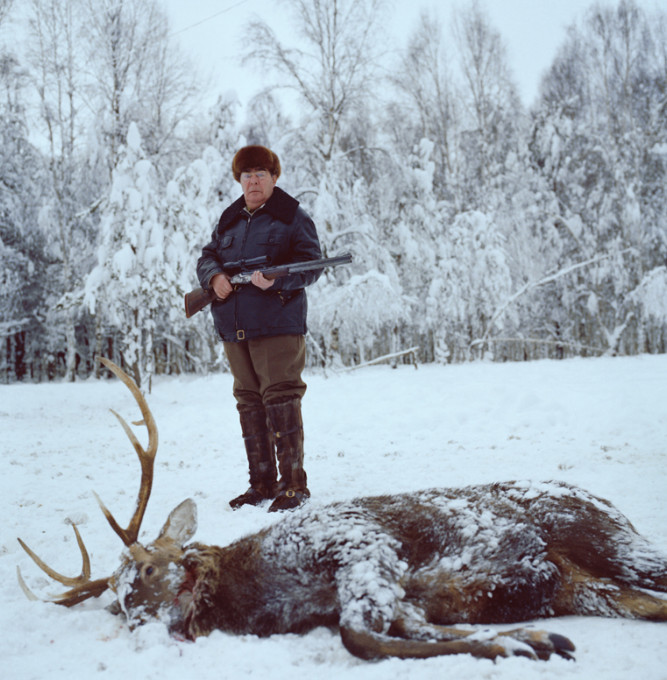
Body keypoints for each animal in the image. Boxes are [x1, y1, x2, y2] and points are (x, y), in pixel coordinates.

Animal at [17, 358, 667, 660]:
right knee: (645, 604)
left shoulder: (361, 542)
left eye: (148, 570)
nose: (140, 626)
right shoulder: (398, 592)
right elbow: (400, 629)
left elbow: (360, 636)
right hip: (586, 585)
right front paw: (524, 637)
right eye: (114, 601)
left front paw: (520, 643)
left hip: (612, 539)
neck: (266, 589)